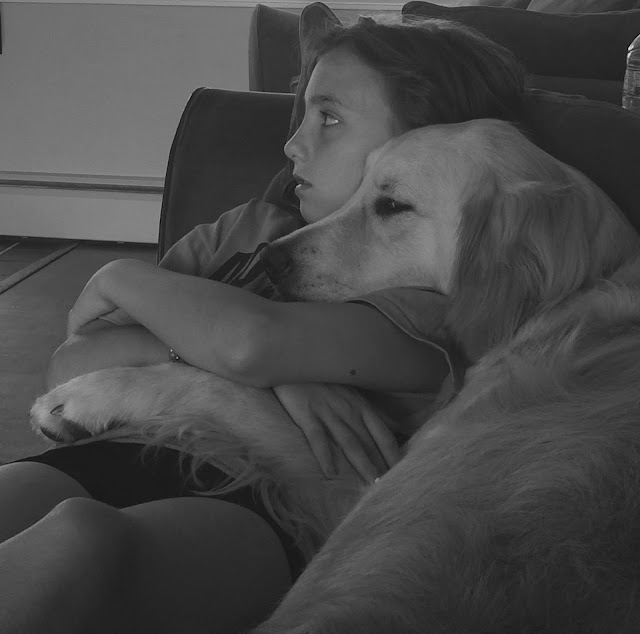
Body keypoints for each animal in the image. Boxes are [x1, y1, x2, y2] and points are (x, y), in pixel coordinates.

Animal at [32, 121, 640, 628]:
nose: (270, 259)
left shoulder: (360, 486)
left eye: (392, 204)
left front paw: (81, 399)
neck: (582, 291)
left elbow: (226, 389)